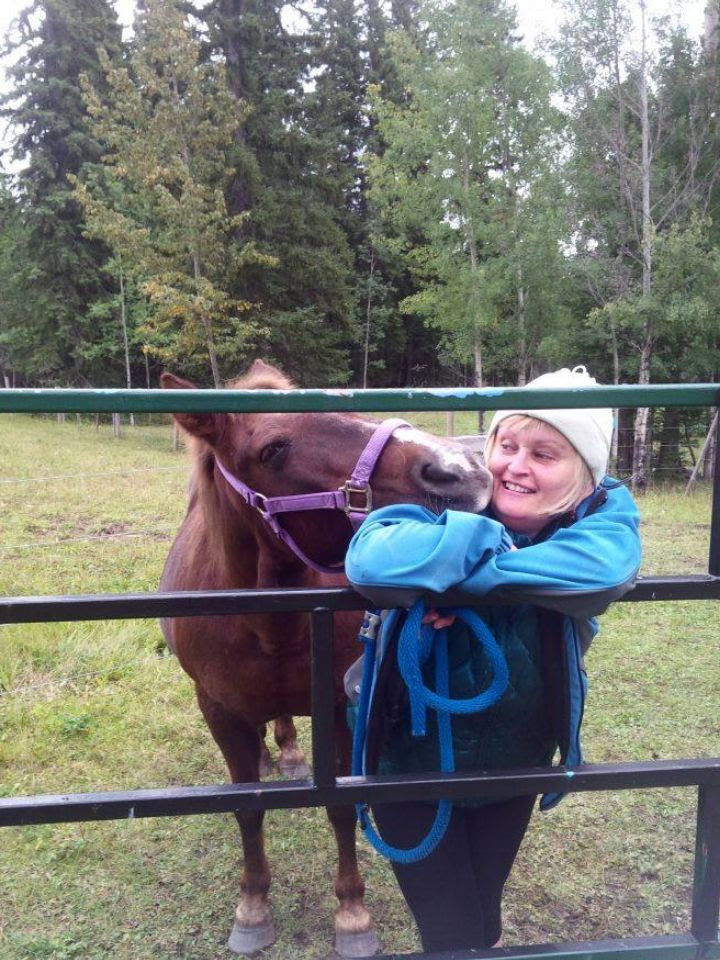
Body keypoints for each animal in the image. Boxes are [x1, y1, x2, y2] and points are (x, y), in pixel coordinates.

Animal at [159, 360, 492, 956]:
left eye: (345, 402)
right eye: (272, 449)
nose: (459, 469)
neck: (270, 626)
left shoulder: (337, 706)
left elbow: (339, 807)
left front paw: (352, 915)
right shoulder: (217, 710)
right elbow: (247, 808)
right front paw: (252, 907)